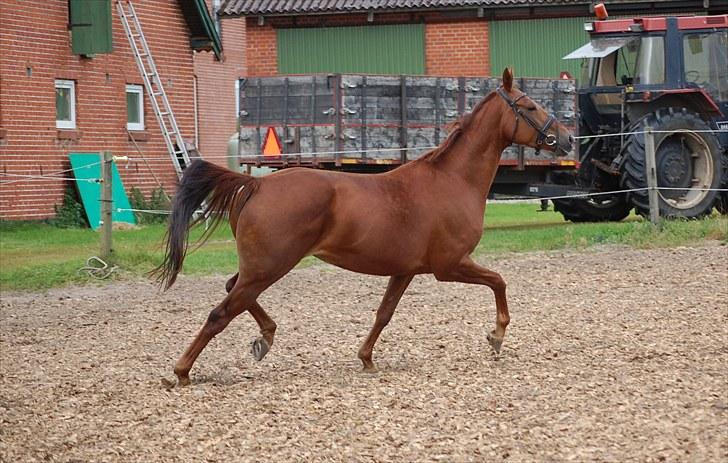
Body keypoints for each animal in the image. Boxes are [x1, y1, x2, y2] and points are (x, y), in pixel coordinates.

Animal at [155, 70, 576, 388]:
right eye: (529, 106)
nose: (567, 138)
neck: (452, 180)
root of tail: (257, 185)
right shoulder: (450, 265)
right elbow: (499, 282)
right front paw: (496, 337)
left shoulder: (405, 270)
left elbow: (384, 313)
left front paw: (367, 359)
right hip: (270, 266)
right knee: (222, 311)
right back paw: (181, 371)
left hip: (260, 267)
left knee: (233, 291)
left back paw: (265, 337)